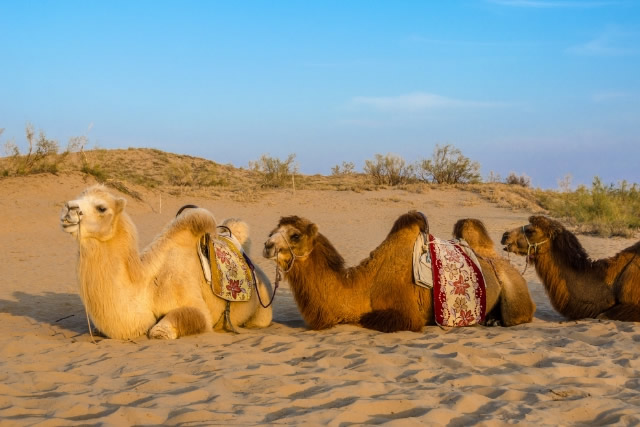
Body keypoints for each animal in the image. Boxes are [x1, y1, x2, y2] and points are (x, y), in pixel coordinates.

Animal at [57, 186, 272, 340]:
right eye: (78, 196)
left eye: (101, 207)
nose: (68, 208)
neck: (147, 285)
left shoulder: (195, 305)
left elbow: (160, 330)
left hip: (263, 309)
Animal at [260, 212, 536, 332]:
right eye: (271, 232)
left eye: (295, 235)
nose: (267, 245)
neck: (364, 286)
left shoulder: (406, 315)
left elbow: (369, 319)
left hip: (514, 290)